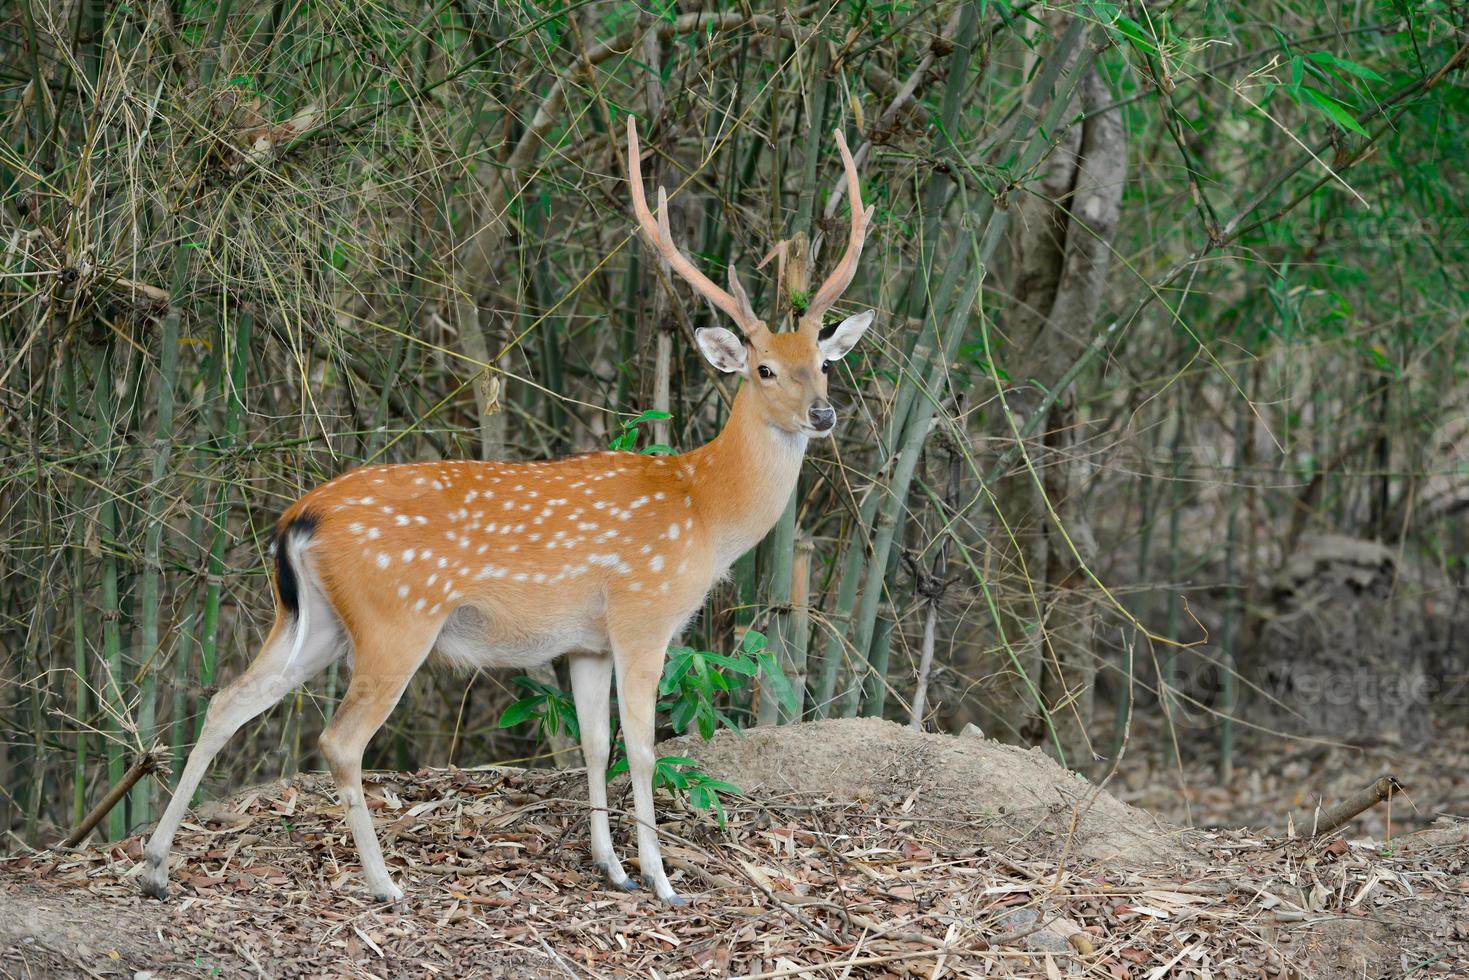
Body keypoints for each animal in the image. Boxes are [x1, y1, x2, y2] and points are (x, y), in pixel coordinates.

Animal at [140, 119, 869, 910]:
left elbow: (595, 744)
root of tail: (297, 517)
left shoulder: (585, 642)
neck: (702, 508)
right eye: (763, 369)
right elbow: (644, 748)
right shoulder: (643, 613)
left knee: (228, 699)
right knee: (338, 739)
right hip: (397, 618)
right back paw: (385, 885)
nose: (823, 414)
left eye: (823, 363)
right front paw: (660, 878)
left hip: (314, 619)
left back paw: (154, 867)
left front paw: (610, 866)